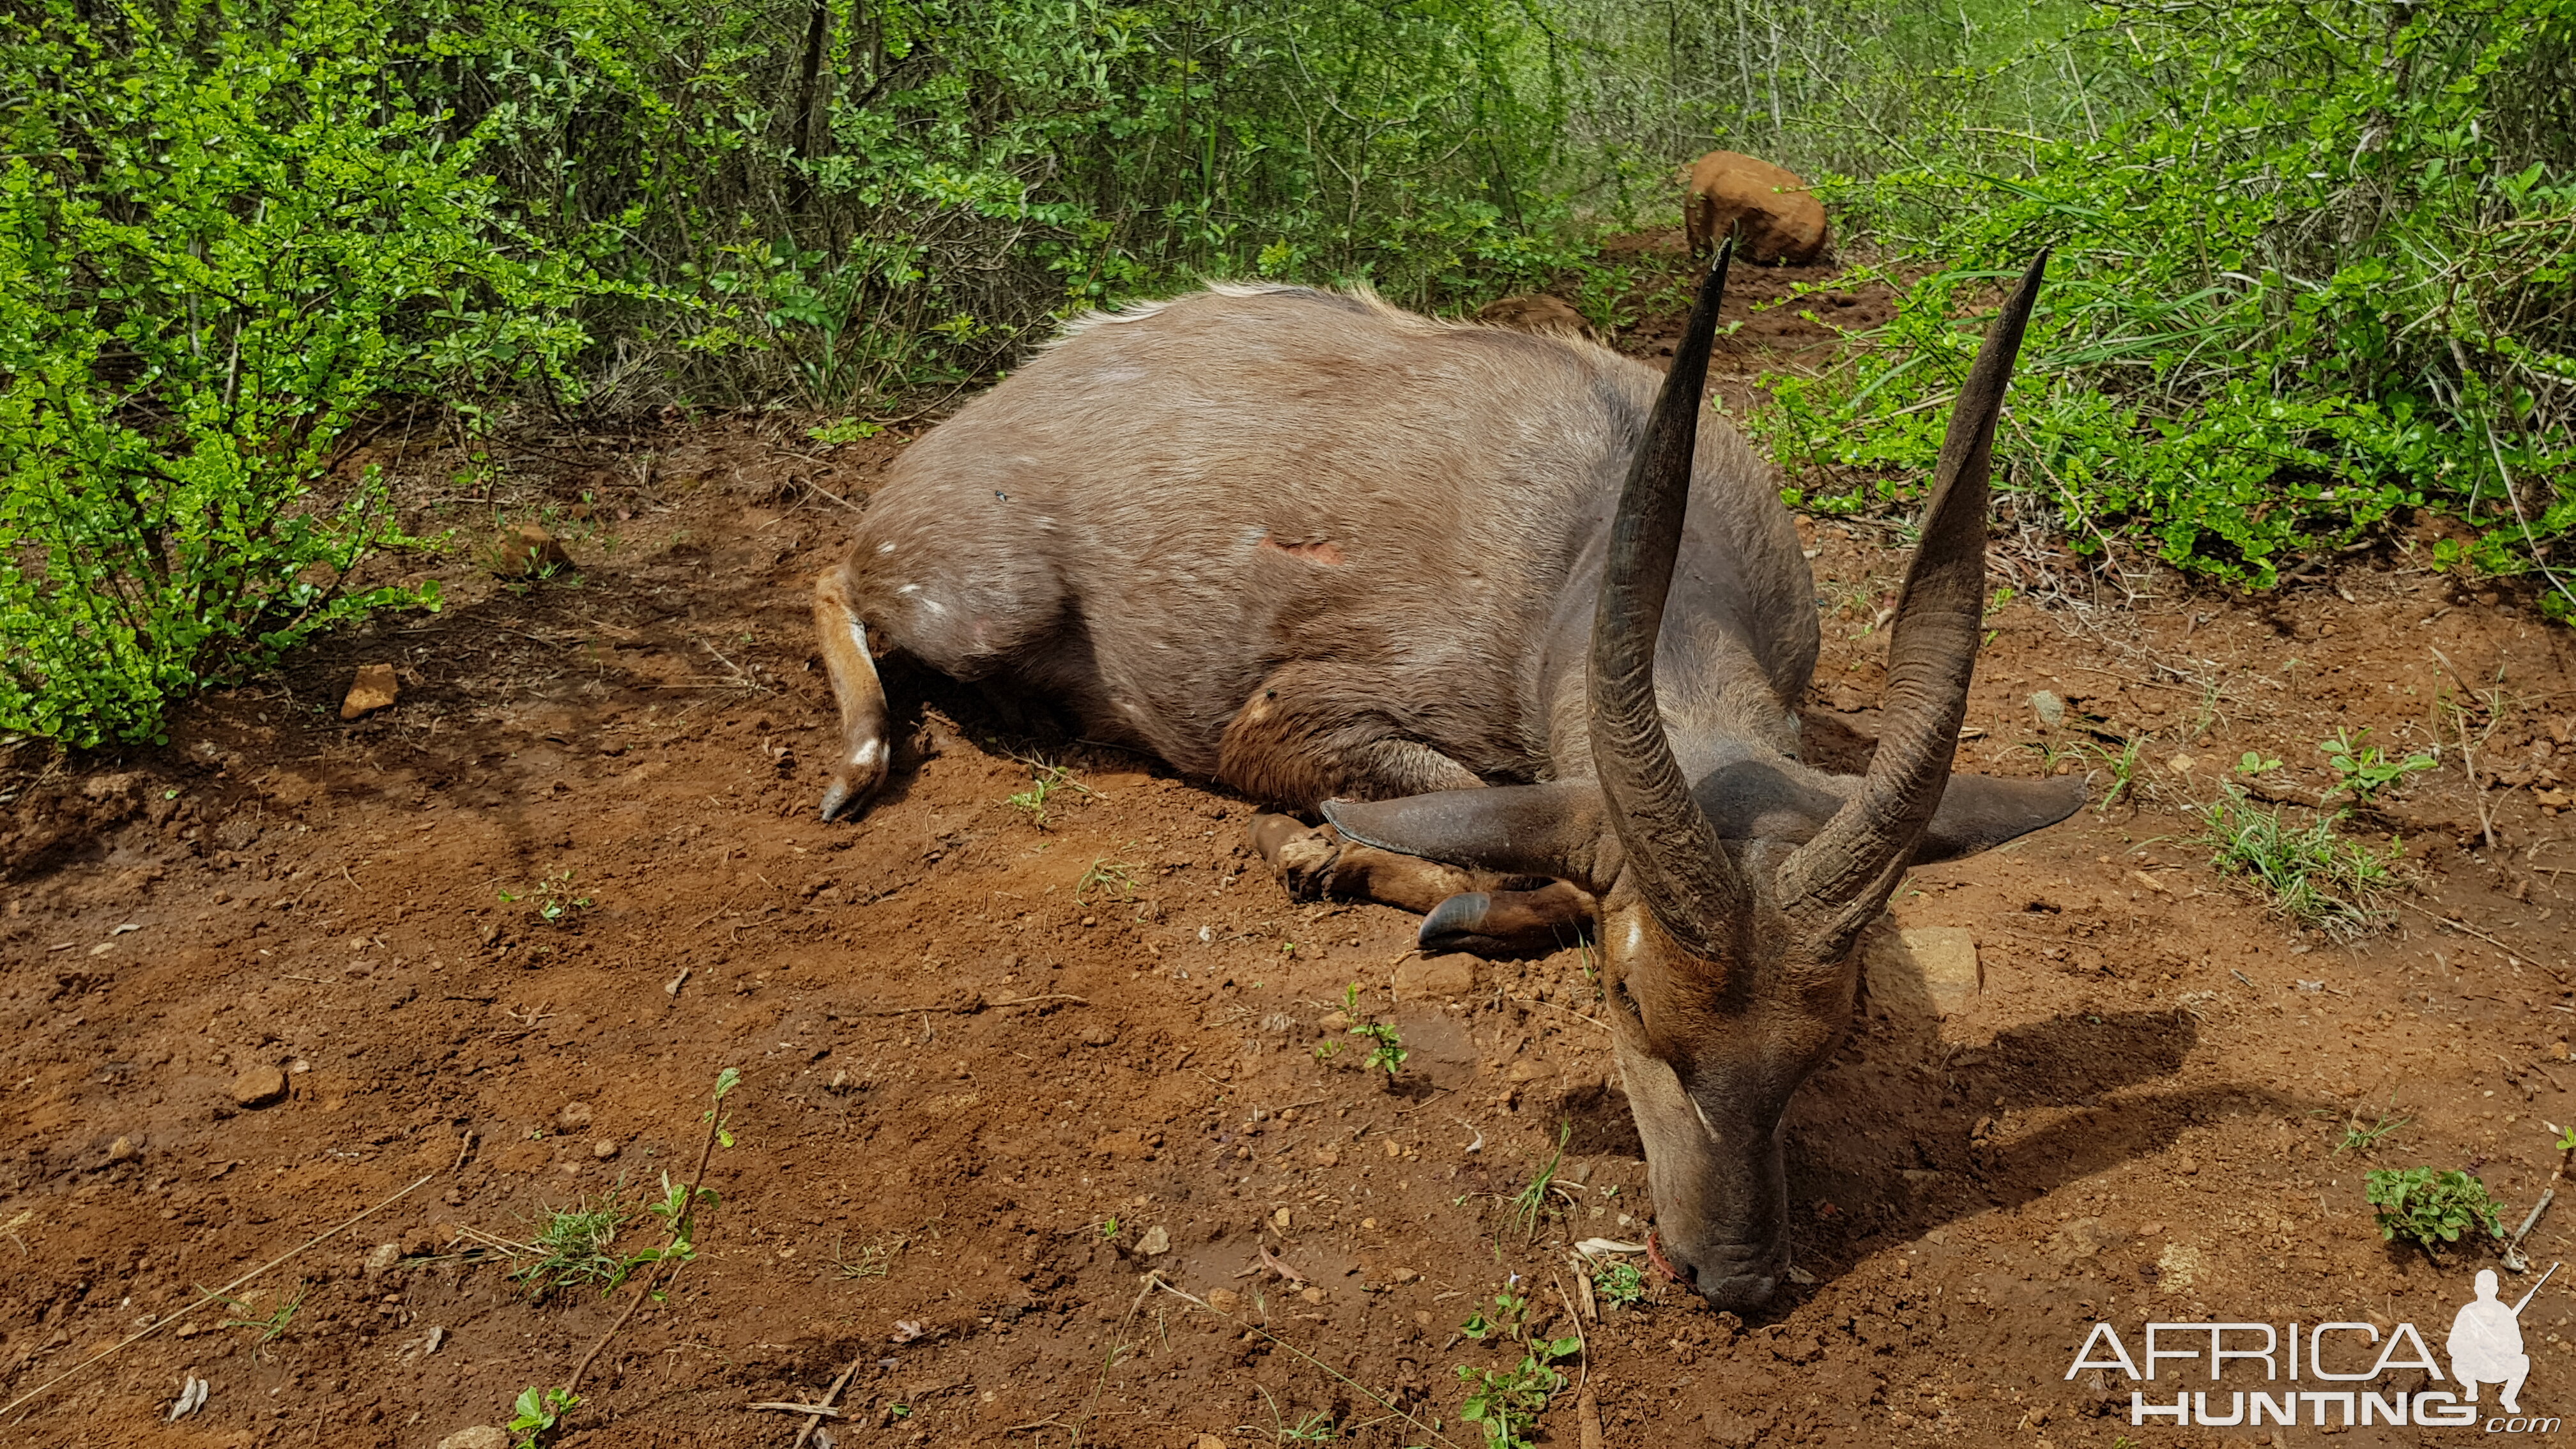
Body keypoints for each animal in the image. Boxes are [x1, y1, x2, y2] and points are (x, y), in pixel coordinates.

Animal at [814, 247, 2081, 1310]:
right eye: (1629, 1000)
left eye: (1831, 1032)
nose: (1733, 1275)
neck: (1579, 544)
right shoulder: (1282, 718)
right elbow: (1525, 869)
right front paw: (1327, 856)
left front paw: (1341, 859)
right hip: (974, 602)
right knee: (833, 576)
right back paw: (859, 766)